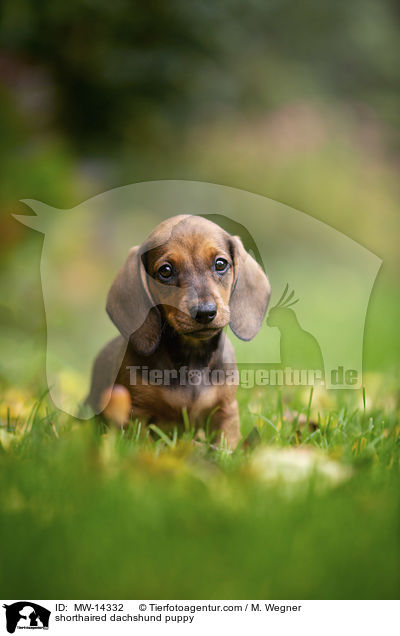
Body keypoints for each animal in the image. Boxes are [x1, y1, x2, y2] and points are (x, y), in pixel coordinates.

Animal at [86, 216, 268, 450]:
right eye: (165, 270)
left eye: (220, 264)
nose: (205, 312)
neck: (191, 357)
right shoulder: (137, 415)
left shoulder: (226, 410)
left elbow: (227, 443)